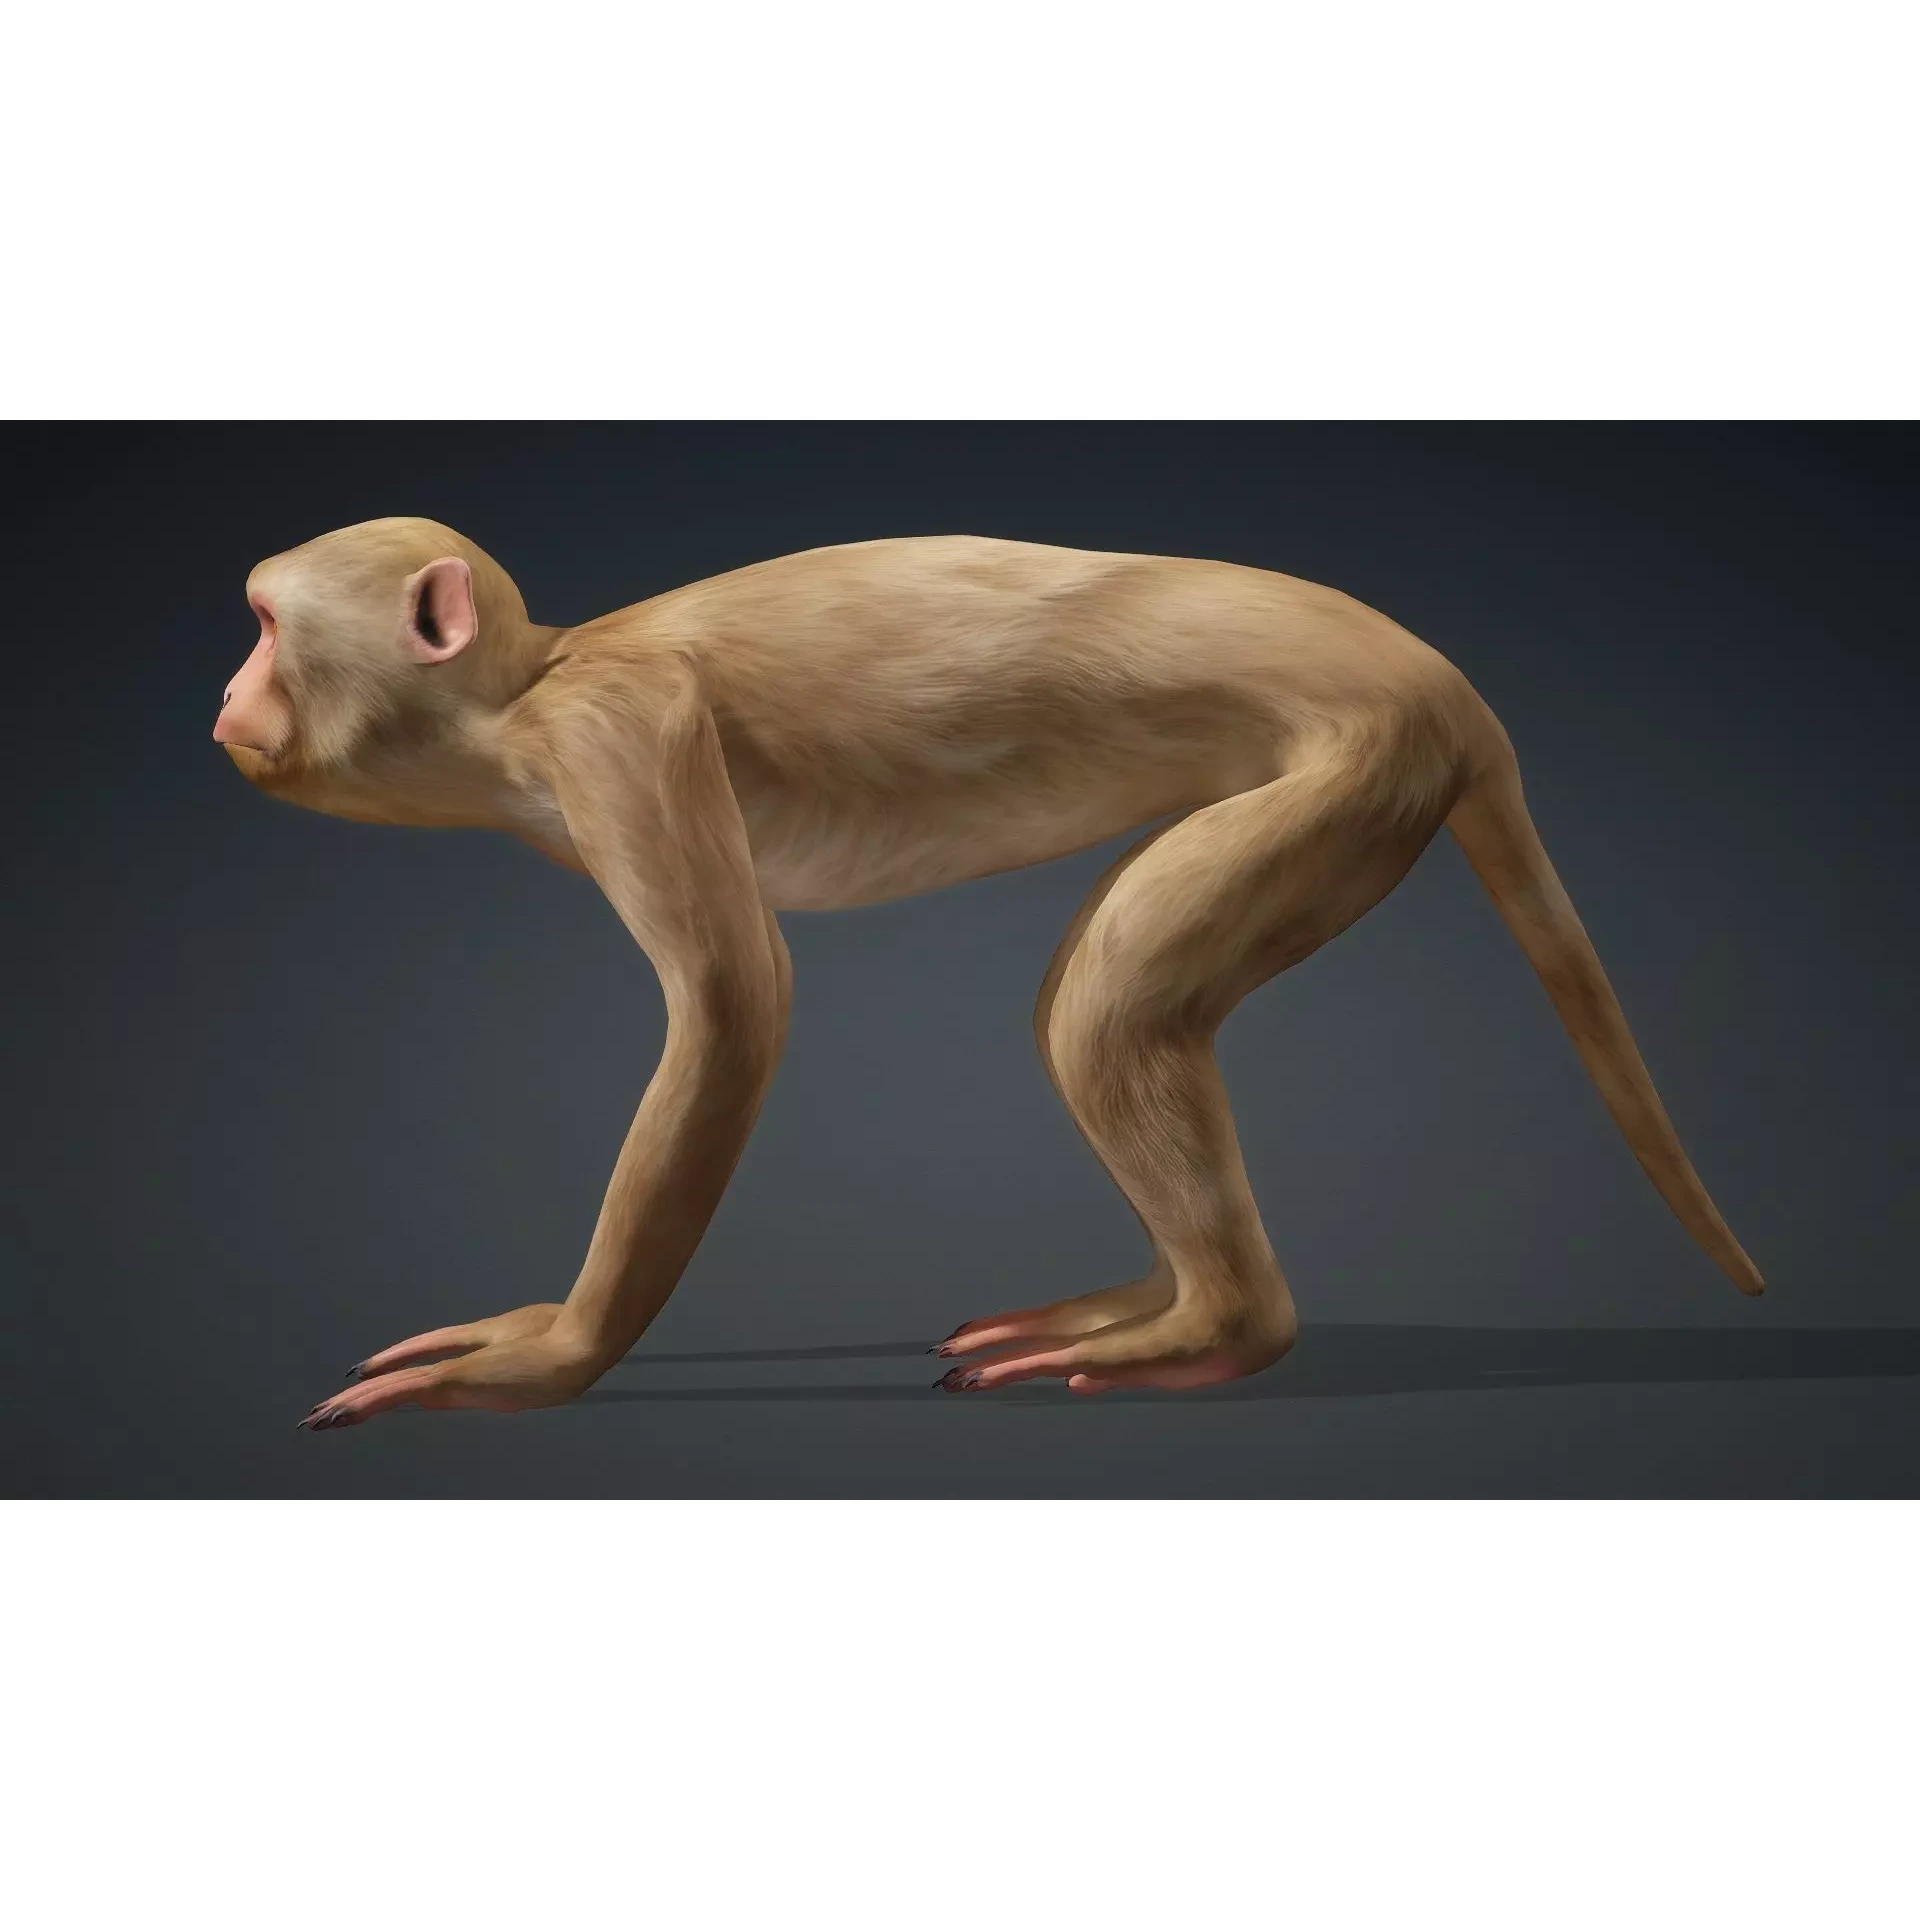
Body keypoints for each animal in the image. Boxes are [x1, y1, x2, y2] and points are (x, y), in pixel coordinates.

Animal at [210, 517, 1765, 1431]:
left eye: (270, 631)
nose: (224, 697)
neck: (526, 699)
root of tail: (1434, 670)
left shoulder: (616, 739)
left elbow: (733, 1007)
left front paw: (555, 1352)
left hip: (1366, 763)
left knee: (1104, 1010)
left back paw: (1216, 1328)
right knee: (1091, 1004)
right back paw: (1143, 1297)